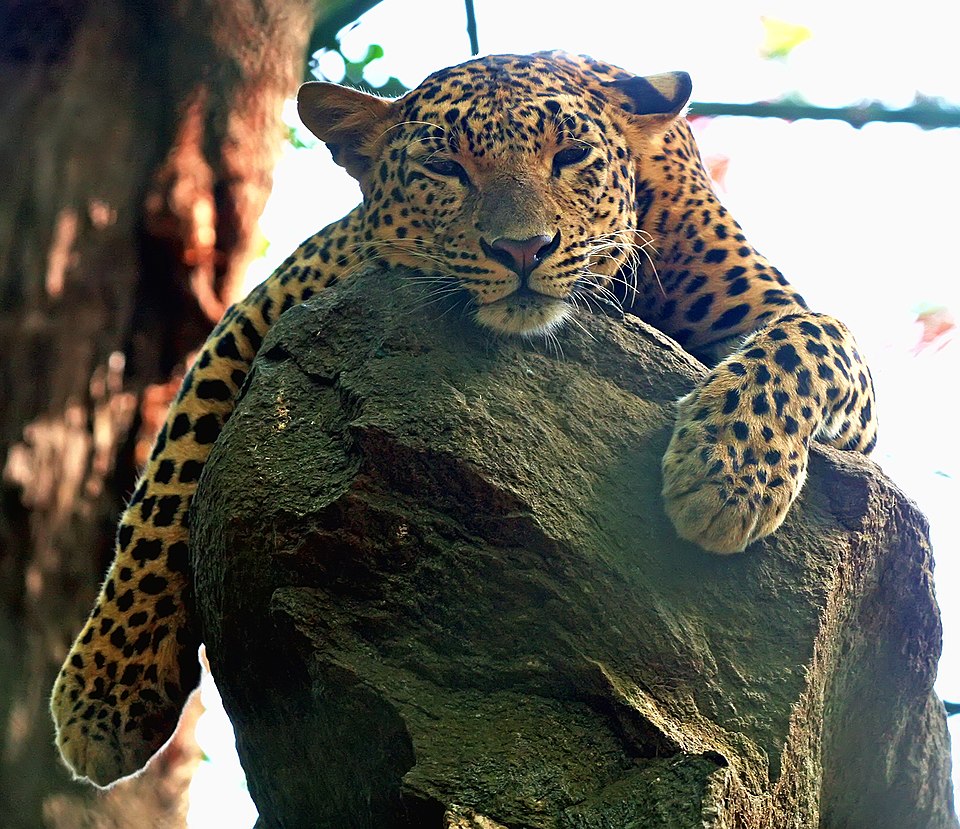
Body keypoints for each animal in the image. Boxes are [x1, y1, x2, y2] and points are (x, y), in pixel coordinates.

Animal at [50, 50, 877, 787]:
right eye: (446, 169)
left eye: (571, 156)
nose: (522, 249)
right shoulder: (264, 309)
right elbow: (167, 479)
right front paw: (107, 689)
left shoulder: (791, 329)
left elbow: (812, 341)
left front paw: (725, 478)